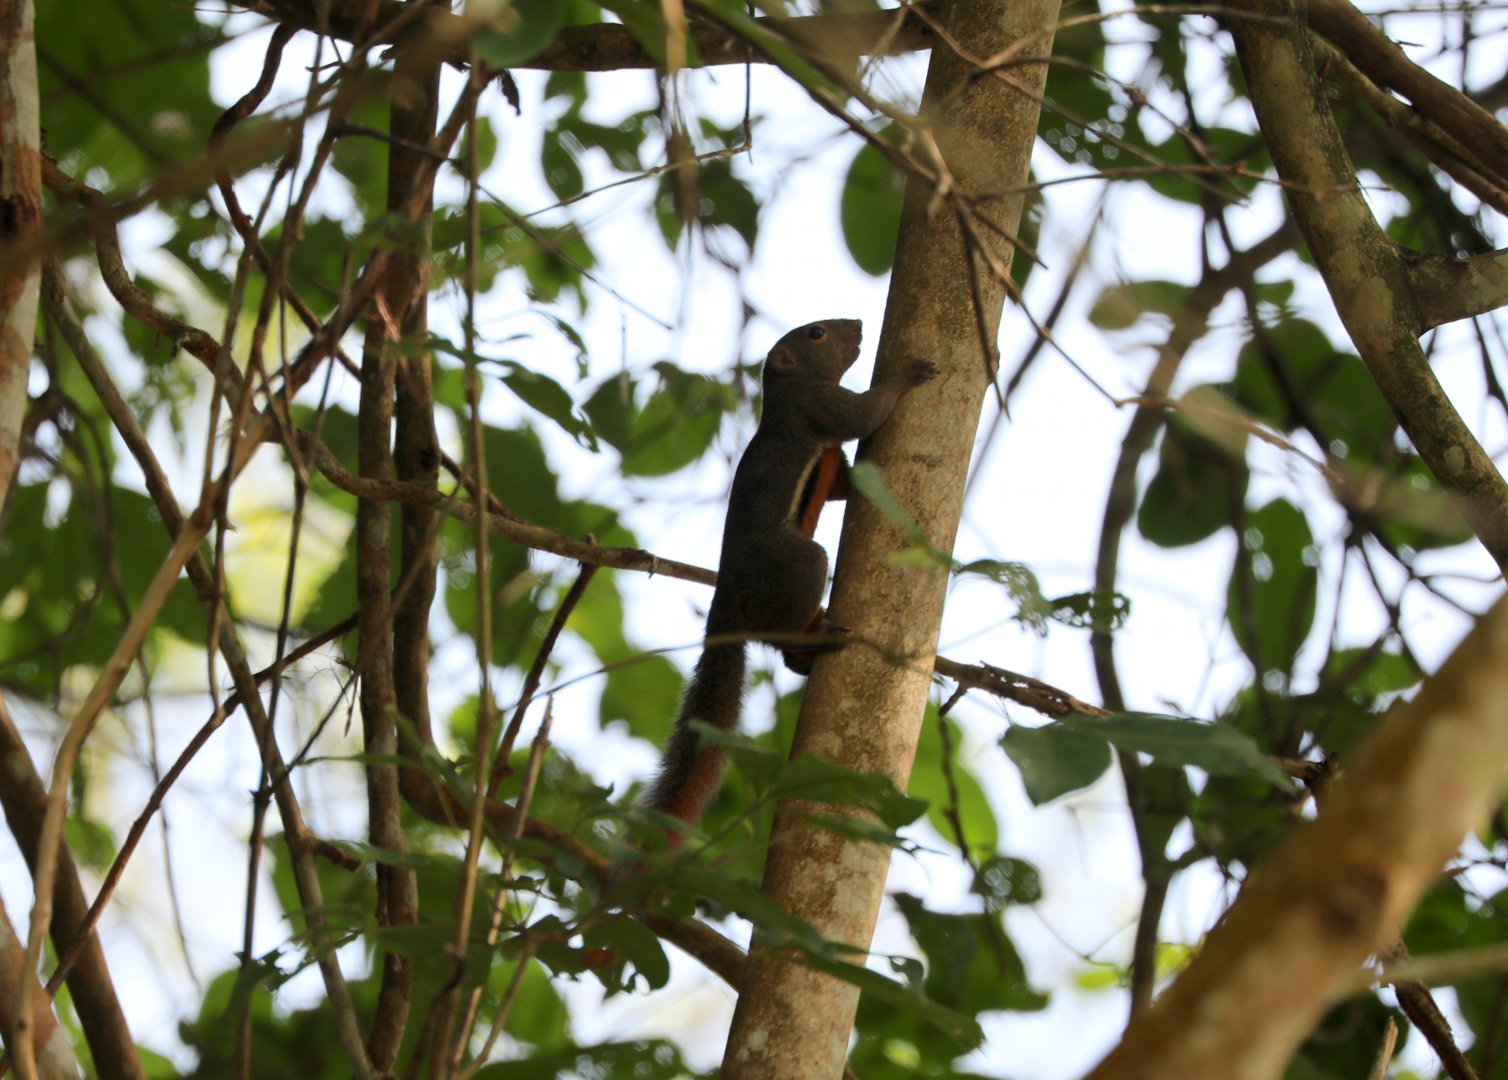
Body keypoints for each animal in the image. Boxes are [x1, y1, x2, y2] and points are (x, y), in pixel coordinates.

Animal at [643, 318, 938, 838]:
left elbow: (844, 484)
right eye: (816, 333)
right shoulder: (818, 408)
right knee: (784, 628)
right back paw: (816, 643)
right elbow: (865, 415)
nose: (857, 324)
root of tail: (727, 608)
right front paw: (909, 374)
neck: (785, 394)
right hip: (799, 565)